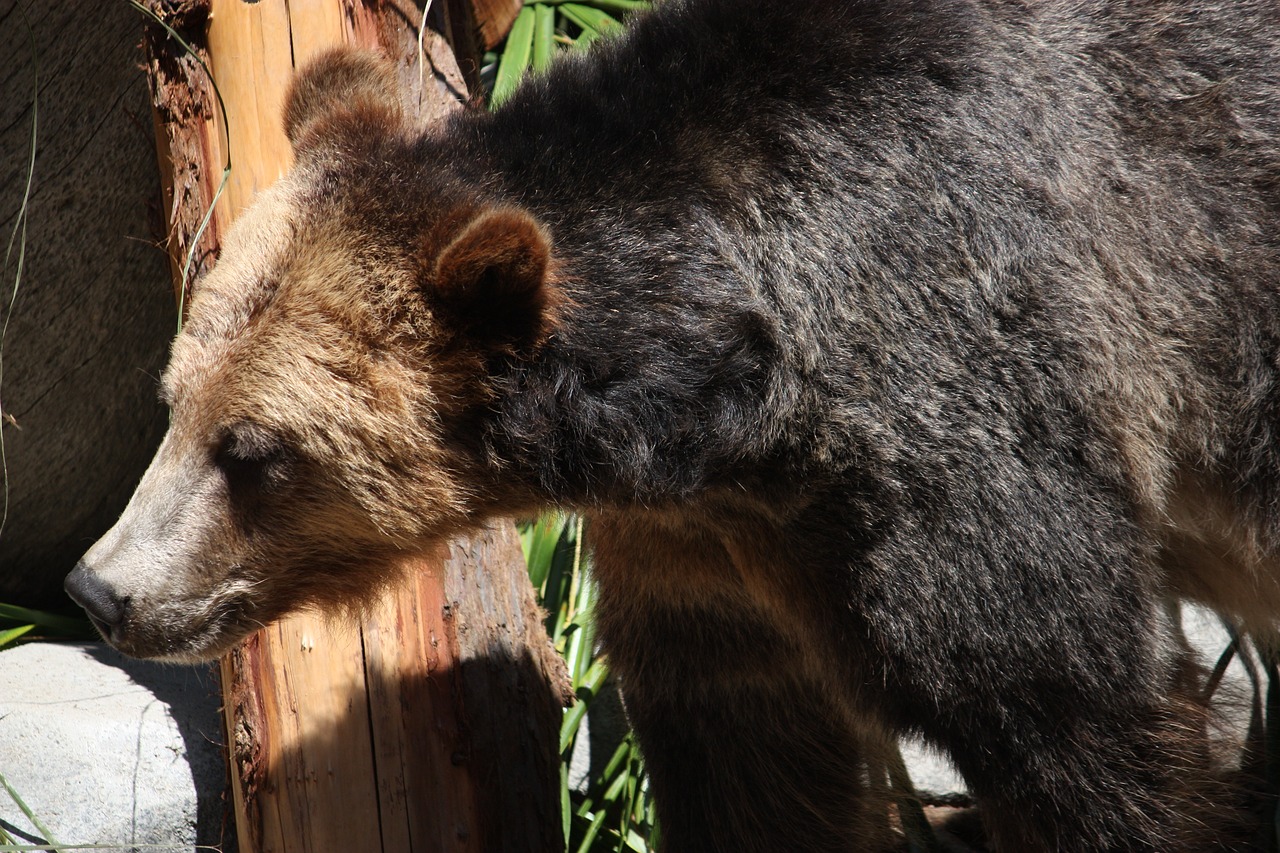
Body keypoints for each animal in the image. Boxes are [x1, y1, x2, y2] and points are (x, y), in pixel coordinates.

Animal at [67, 0, 1280, 845]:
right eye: (176, 400)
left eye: (254, 451)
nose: (100, 588)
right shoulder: (709, 551)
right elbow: (752, 759)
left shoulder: (964, 398)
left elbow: (1067, 703)